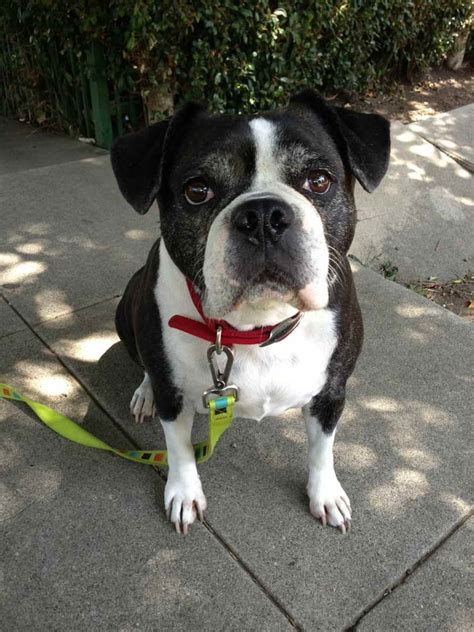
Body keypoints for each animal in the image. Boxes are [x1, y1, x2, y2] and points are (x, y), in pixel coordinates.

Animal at [111, 89, 388, 532]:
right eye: (197, 190)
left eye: (319, 180)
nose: (262, 216)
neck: (257, 324)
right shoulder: (174, 398)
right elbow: (179, 447)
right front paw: (184, 494)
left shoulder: (331, 393)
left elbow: (322, 448)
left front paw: (325, 494)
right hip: (127, 313)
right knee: (144, 364)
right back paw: (144, 393)